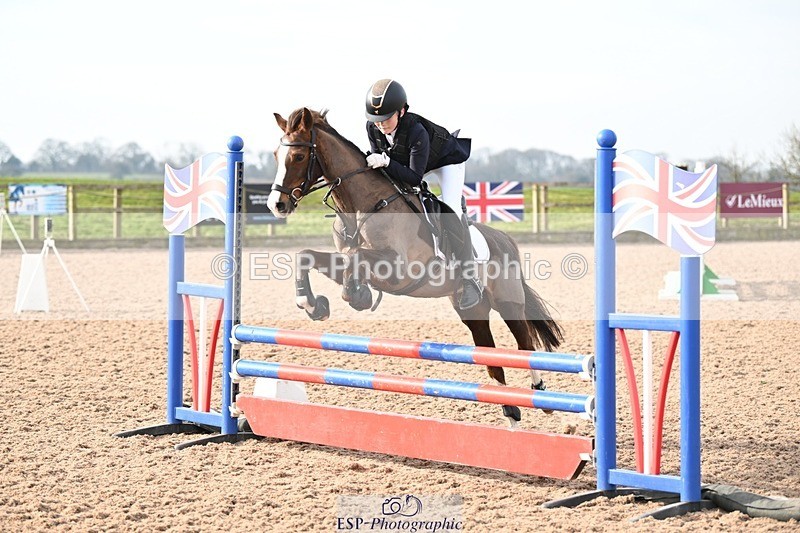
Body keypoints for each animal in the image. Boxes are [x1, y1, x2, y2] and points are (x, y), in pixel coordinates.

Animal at [267, 107, 564, 425]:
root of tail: (505, 239)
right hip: (473, 311)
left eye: (298, 156)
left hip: (508, 302)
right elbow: (309, 256)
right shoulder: (343, 259)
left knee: (525, 345)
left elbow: (356, 257)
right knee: (492, 358)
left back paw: (540, 393)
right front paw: (314, 304)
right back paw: (511, 412)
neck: (363, 206)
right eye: (275, 154)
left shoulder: (399, 269)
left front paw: (358, 296)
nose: (276, 205)